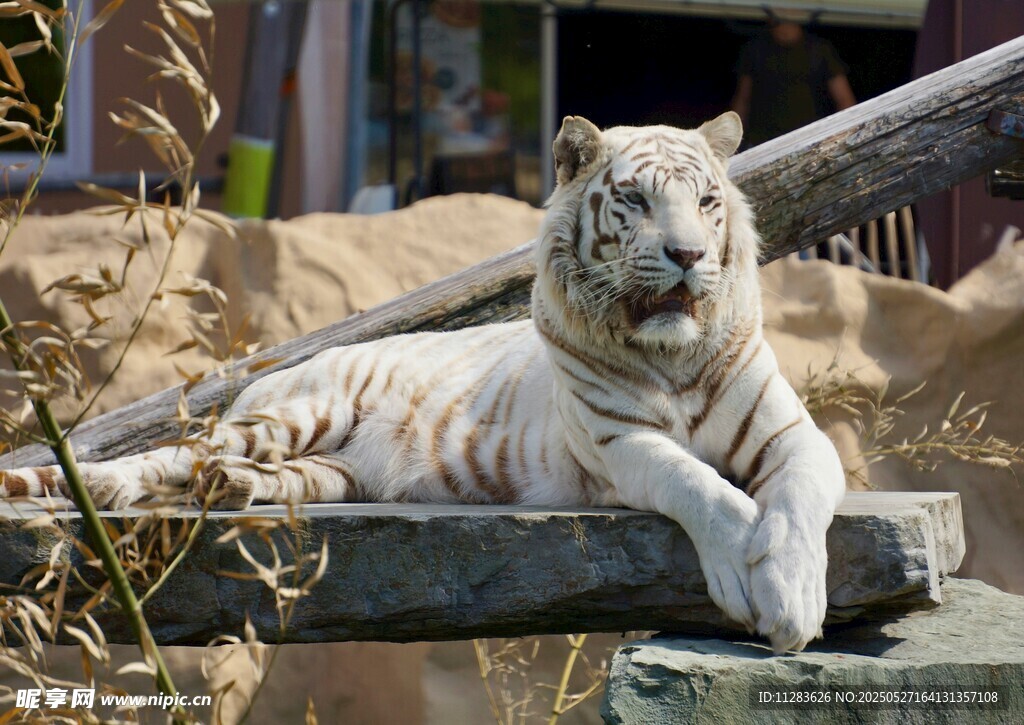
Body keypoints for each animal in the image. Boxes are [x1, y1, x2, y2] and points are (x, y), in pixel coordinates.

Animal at [1, 112, 846, 653]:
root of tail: (266, 377)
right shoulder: (619, 443)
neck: (673, 357)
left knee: (238, 472)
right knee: (175, 454)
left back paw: (233, 490)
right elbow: (704, 487)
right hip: (296, 415)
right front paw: (745, 578)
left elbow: (799, 500)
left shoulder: (796, 435)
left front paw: (794, 597)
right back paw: (102, 487)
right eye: (635, 199)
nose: (687, 255)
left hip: (330, 471)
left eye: (707, 202)